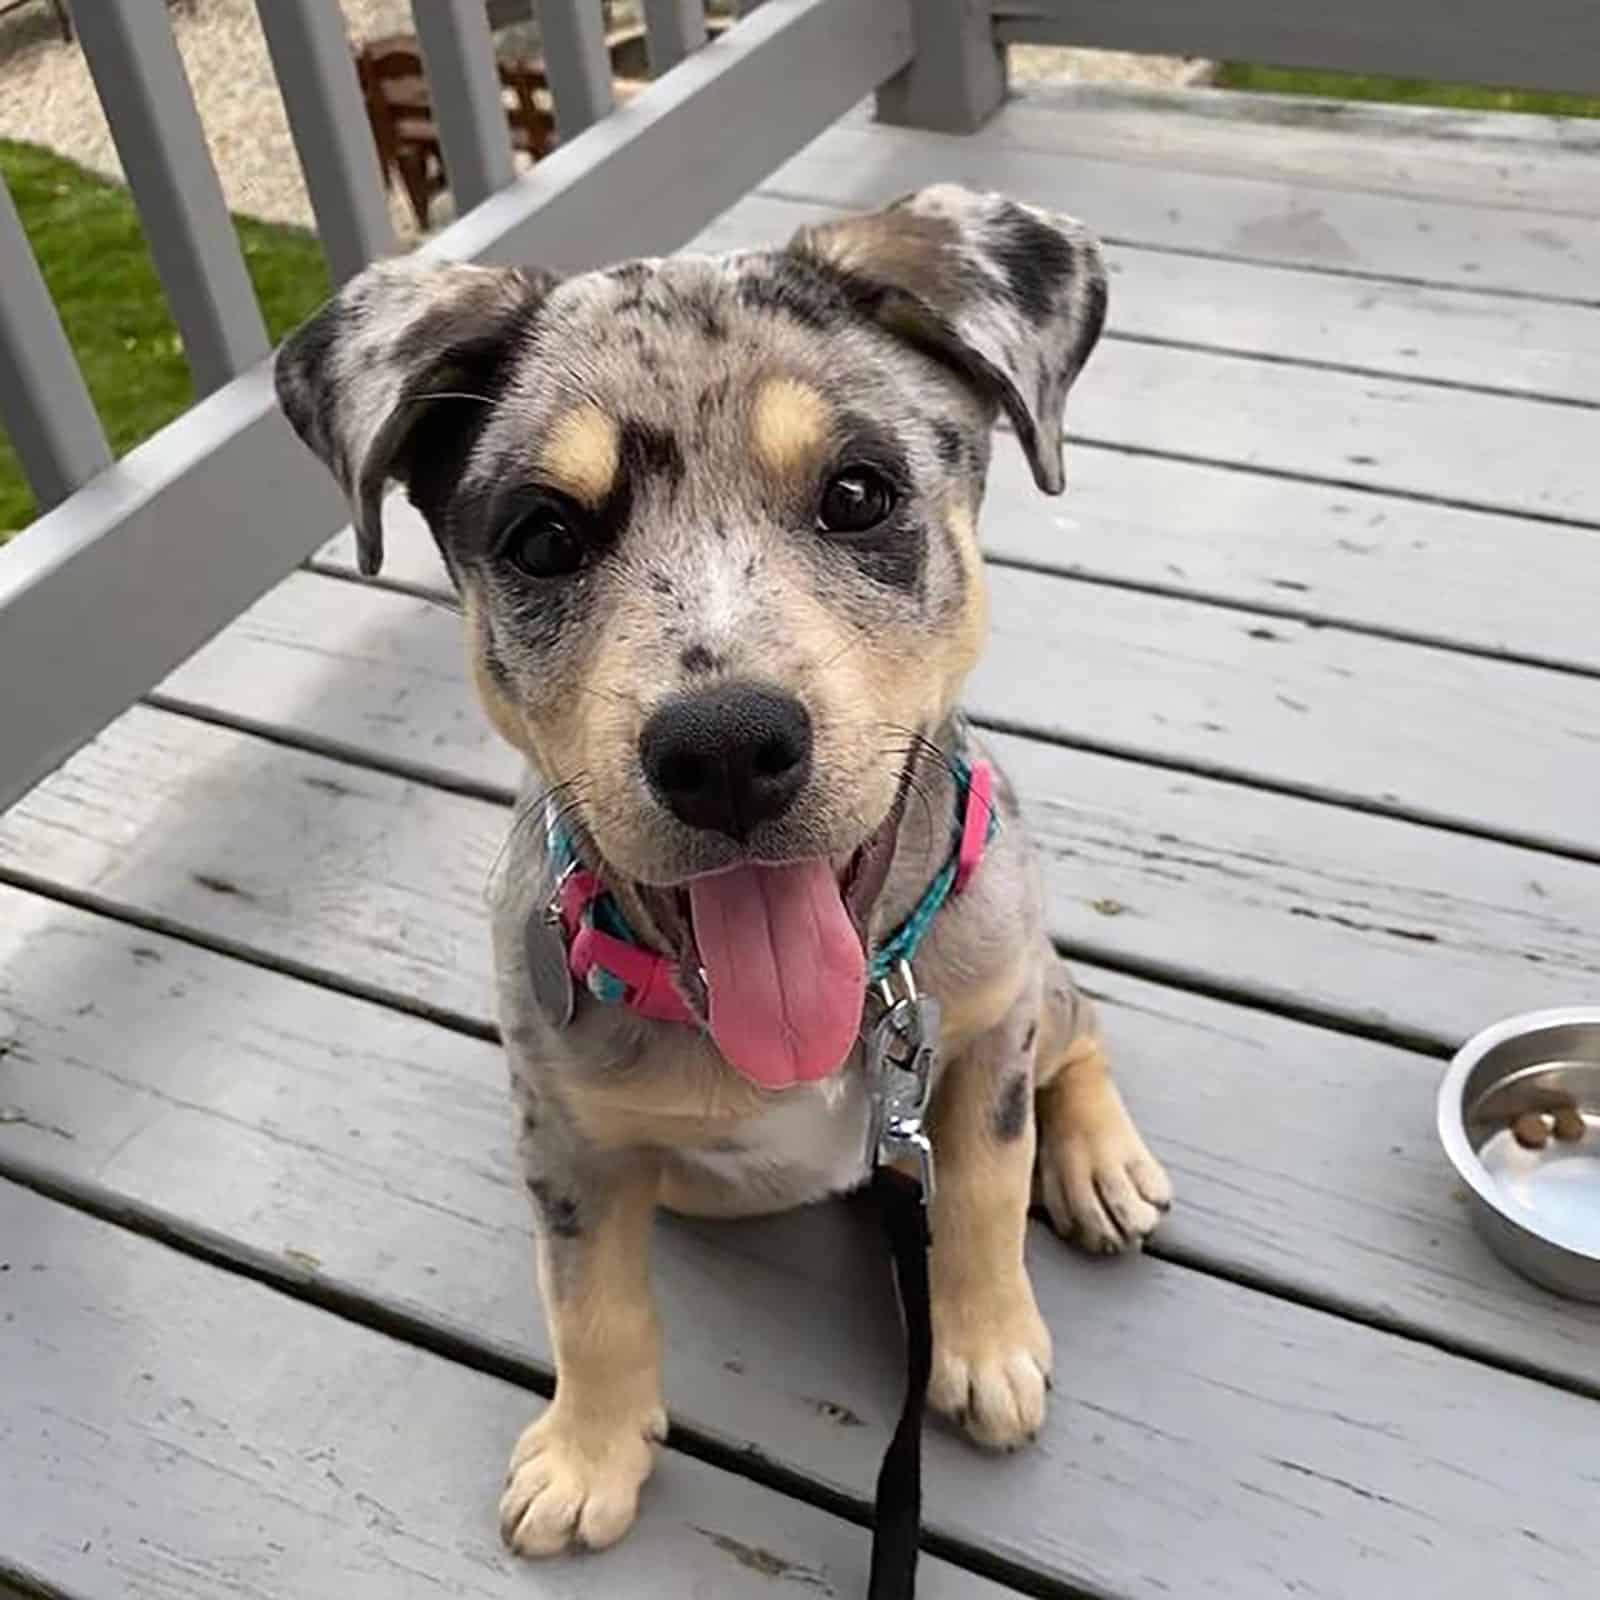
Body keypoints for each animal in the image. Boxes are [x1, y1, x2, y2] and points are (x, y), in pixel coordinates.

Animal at [278, 181, 1177, 1555]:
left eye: (858, 493)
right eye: (542, 537)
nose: (724, 750)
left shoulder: (981, 1036)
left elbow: (979, 1189)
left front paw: (986, 1344)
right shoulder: (566, 1140)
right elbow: (589, 1298)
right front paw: (588, 1453)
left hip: (1030, 970)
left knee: (1082, 1034)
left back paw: (1100, 1162)